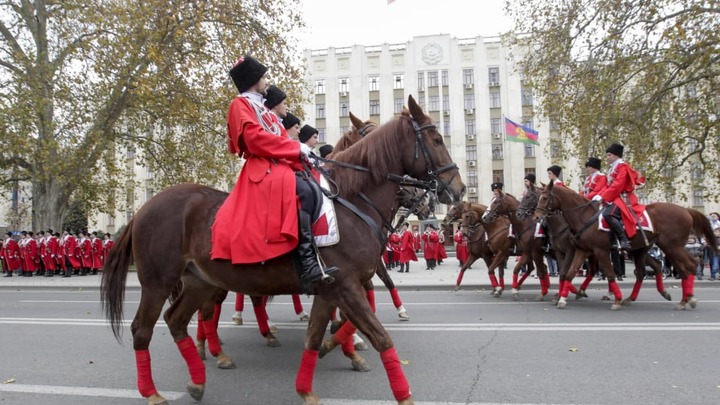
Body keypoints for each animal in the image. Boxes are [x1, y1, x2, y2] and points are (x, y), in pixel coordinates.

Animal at [98, 95, 464, 404]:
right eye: (436, 139)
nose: (457, 190)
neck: (350, 201)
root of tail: (142, 209)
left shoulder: (333, 287)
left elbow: (316, 337)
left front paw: (312, 382)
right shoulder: (346, 285)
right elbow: (380, 336)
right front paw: (400, 392)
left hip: (199, 280)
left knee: (177, 321)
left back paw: (199, 378)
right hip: (158, 282)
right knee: (145, 329)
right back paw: (157, 390)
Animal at [536, 180, 716, 310]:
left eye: (544, 198)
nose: (537, 216)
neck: (584, 217)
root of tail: (686, 210)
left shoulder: (599, 251)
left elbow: (610, 274)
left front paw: (616, 300)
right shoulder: (582, 250)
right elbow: (569, 273)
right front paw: (562, 299)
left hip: (672, 247)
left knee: (690, 265)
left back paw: (688, 298)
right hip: (648, 249)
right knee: (655, 269)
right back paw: (677, 298)